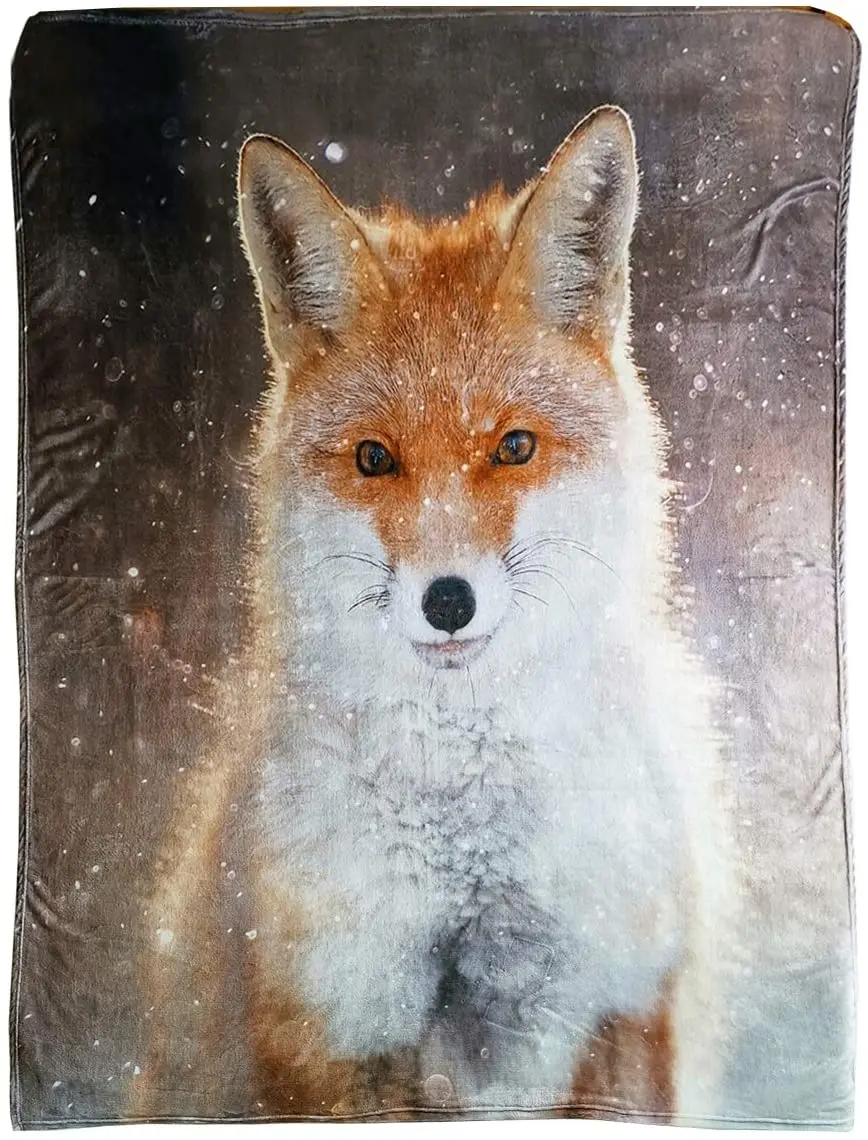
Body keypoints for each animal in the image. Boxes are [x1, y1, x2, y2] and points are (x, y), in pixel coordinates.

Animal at [133, 106, 737, 1123]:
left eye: (514, 447)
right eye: (375, 459)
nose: (447, 601)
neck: (470, 857)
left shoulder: (606, 1008)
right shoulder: (330, 1023)